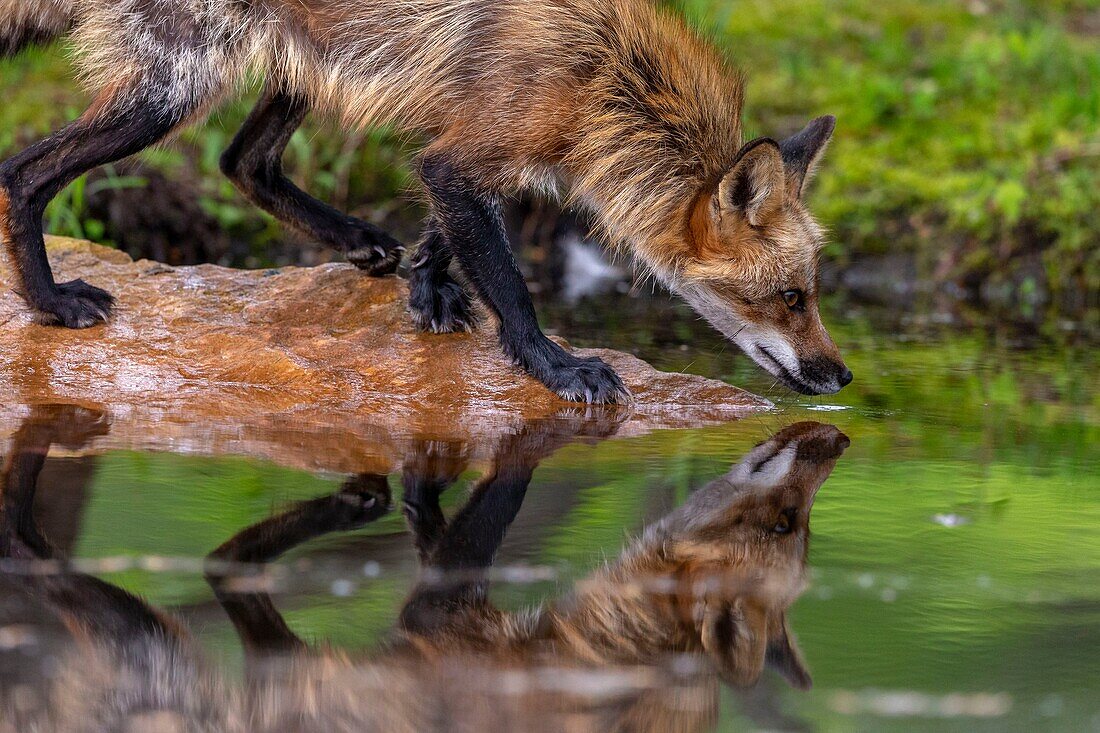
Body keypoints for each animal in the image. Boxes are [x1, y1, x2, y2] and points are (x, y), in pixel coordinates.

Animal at [0, 0, 853, 402]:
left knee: (242, 160)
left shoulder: (485, 154)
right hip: (168, 94)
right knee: (22, 172)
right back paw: (49, 301)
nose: (842, 377)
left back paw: (357, 241)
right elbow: (512, 285)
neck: (607, 76)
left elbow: (449, 236)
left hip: (298, 68)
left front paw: (428, 290)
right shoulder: (466, 152)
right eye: (791, 297)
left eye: (813, 293)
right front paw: (557, 366)